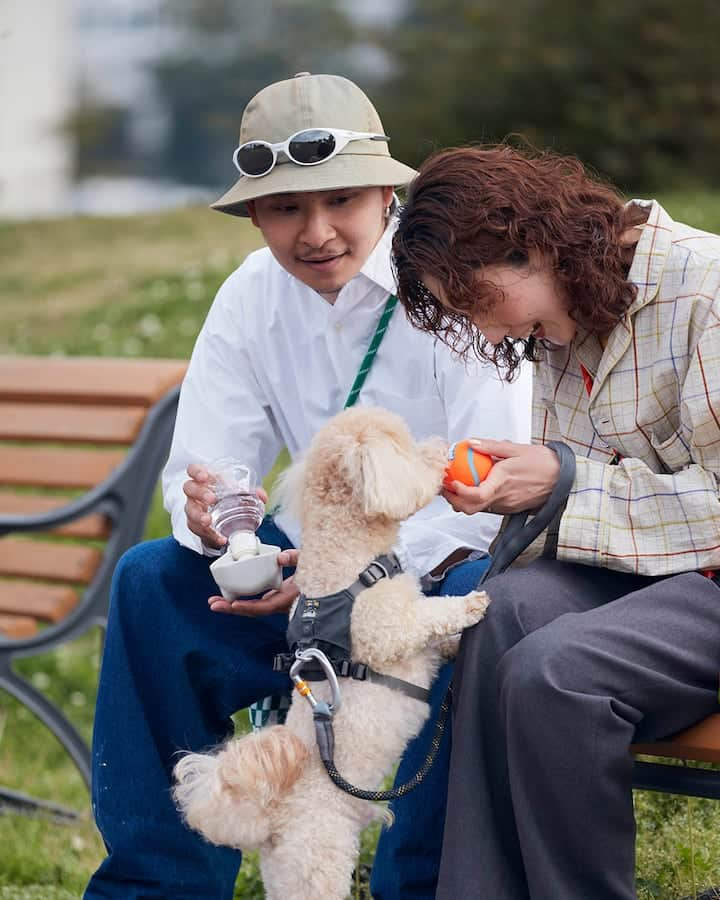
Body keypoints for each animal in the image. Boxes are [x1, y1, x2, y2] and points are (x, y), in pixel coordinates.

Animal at [174, 408, 490, 900]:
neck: (350, 557)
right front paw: (470, 605)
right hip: (319, 864)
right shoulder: (385, 628)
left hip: (288, 875)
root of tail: (272, 819)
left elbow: (435, 639)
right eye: (405, 448)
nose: (444, 448)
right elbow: (425, 616)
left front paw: (458, 639)